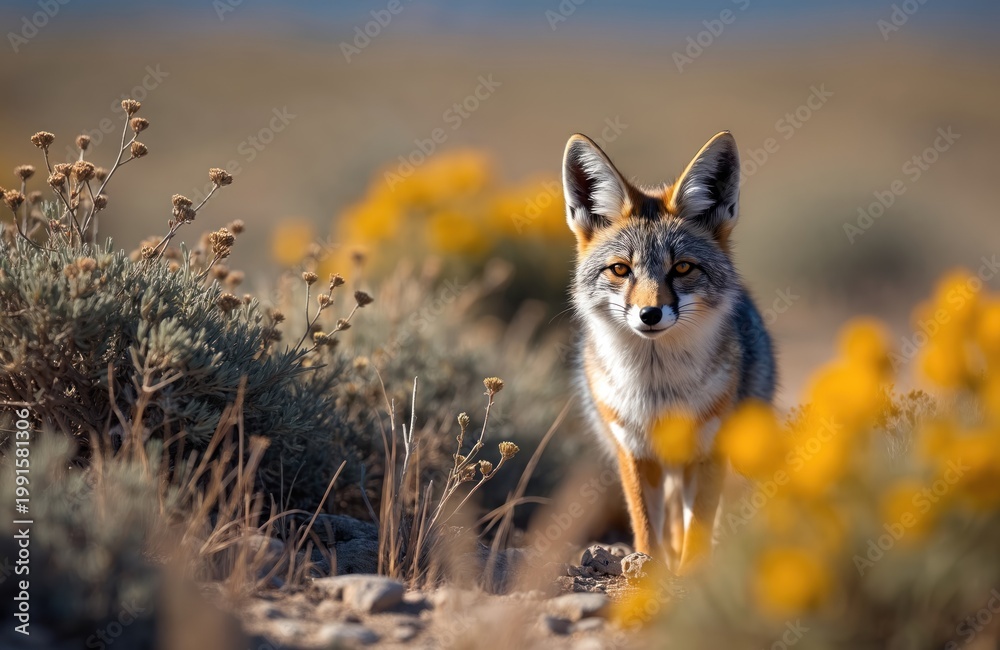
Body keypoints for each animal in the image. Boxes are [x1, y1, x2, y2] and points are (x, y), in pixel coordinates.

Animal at [562, 131, 776, 572]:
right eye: (621, 269)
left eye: (682, 268)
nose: (650, 314)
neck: (658, 392)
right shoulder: (633, 451)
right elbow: (646, 526)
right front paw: (648, 572)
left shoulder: (710, 449)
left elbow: (698, 530)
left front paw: (692, 575)